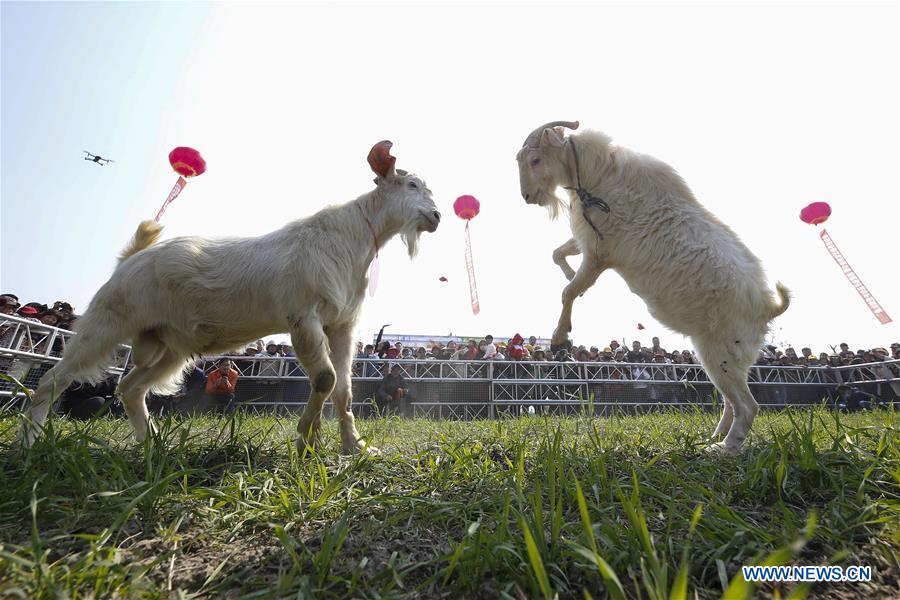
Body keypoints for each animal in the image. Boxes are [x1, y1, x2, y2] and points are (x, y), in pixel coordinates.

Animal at [23, 141, 441, 455]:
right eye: (411, 185)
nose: (436, 216)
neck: (350, 238)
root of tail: (129, 260)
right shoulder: (302, 316)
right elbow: (324, 378)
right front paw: (305, 438)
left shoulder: (341, 325)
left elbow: (344, 390)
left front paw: (354, 446)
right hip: (107, 321)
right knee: (53, 379)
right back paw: (31, 442)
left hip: (169, 345)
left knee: (130, 388)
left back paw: (152, 444)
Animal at [516, 121, 790, 454]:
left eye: (535, 160)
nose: (527, 195)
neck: (600, 175)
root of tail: (767, 307)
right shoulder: (591, 244)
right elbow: (558, 255)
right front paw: (568, 276)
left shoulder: (600, 253)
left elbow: (567, 291)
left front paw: (559, 336)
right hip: (719, 356)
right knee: (731, 402)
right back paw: (713, 438)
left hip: (721, 352)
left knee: (748, 406)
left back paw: (724, 449)